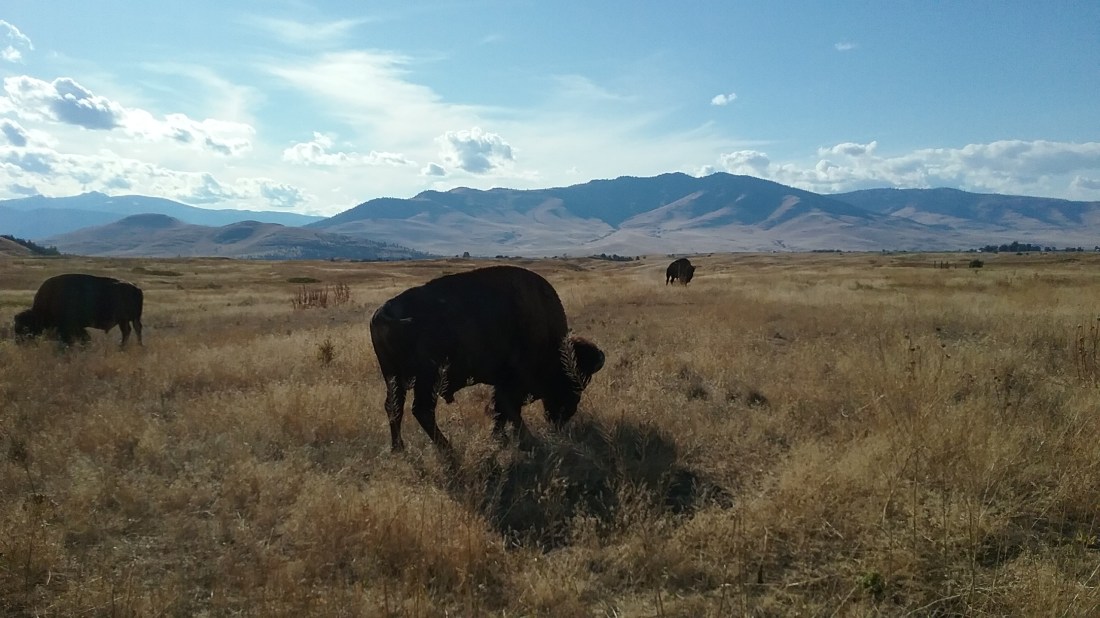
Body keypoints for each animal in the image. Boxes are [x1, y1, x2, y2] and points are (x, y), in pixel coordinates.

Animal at [13, 273, 144, 348]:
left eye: (25, 328)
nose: (19, 343)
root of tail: (136, 288)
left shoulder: (71, 327)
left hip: (127, 319)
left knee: (132, 330)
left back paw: (128, 346)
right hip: (128, 319)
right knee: (131, 330)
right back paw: (128, 346)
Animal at [370, 265, 605, 452]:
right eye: (572, 382)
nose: (565, 415)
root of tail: (384, 312)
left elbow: (501, 411)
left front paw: (500, 439)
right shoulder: (512, 382)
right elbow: (508, 409)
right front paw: (525, 441)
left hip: (392, 376)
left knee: (394, 407)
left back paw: (398, 448)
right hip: (427, 379)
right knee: (422, 410)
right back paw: (449, 451)